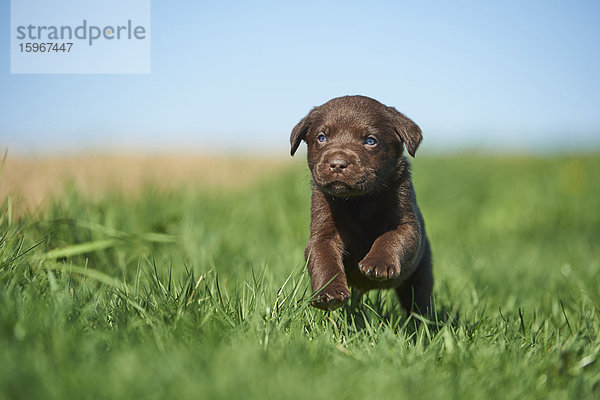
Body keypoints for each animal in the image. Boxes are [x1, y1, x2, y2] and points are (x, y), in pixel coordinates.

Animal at [290, 95, 432, 314]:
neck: (359, 200)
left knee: (419, 305)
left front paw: (378, 263)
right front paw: (328, 293)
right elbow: (324, 260)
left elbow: (390, 237)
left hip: (421, 276)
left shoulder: (408, 225)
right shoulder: (323, 233)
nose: (337, 163)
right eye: (322, 137)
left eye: (370, 141)